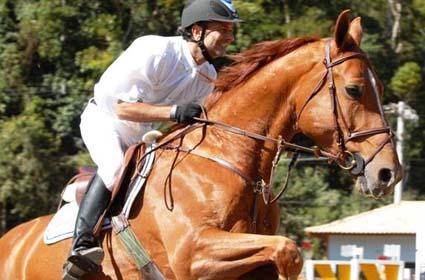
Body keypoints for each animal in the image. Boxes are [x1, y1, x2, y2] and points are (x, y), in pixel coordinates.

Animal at [0, 10, 400, 280]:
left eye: (380, 88)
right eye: (354, 90)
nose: (388, 173)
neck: (228, 158)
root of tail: (11, 240)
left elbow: (283, 252)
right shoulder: (194, 254)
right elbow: (290, 251)